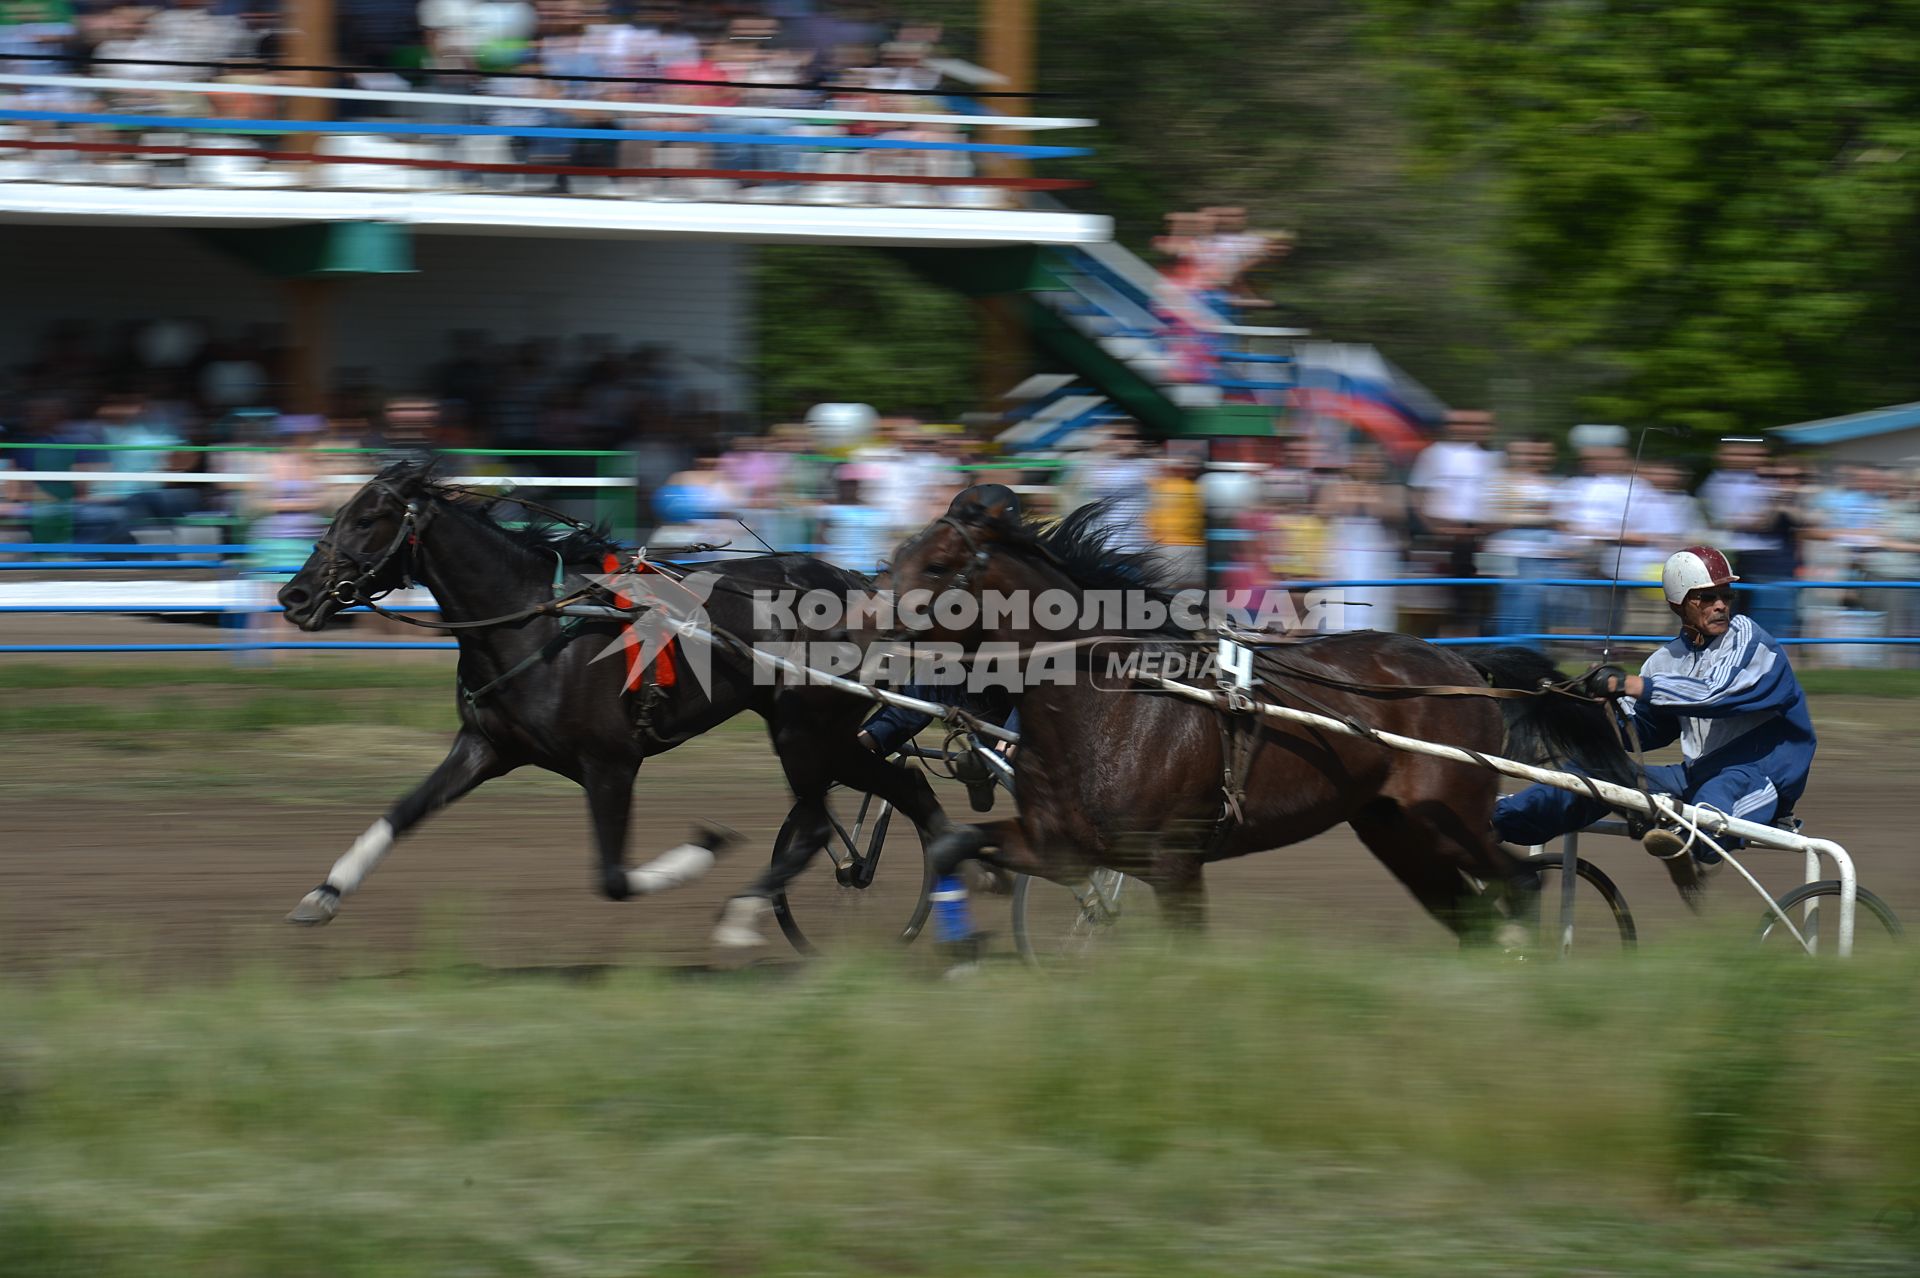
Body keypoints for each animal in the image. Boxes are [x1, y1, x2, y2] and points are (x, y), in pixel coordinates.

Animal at [278, 452, 952, 940]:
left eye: (366, 519)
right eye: (338, 511)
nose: (295, 596)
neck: (537, 623)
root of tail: (858, 584)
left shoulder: (610, 764)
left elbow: (615, 878)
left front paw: (703, 847)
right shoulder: (486, 746)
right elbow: (402, 812)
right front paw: (323, 894)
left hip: (804, 731)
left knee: (816, 823)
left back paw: (745, 913)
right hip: (830, 734)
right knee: (907, 789)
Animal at [879, 498, 1620, 936]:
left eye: (938, 565)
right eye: (898, 554)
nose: (868, 617)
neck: (1110, 706)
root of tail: (1463, 665)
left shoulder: (1174, 864)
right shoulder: (1059, 845)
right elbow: (953, 845)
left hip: (1451, 817)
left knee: (1519, 883)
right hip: (1399, 832)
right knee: (1472, 913)